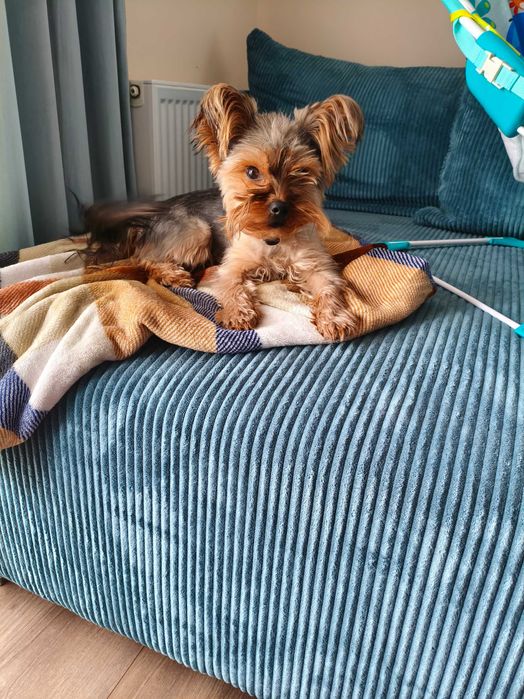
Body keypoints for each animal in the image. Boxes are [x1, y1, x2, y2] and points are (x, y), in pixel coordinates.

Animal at [85, 83, 364, 340]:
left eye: (302, 172)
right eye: (252, 172)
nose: (279, 207)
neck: (273, 238)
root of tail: (156, 211)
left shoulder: (316, 265)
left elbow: (329, 289)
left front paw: (335, 319)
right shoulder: (233, 264)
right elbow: (231, 285)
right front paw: (236, 314)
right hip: (197, 232)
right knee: (144, 257)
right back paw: (174, 275)